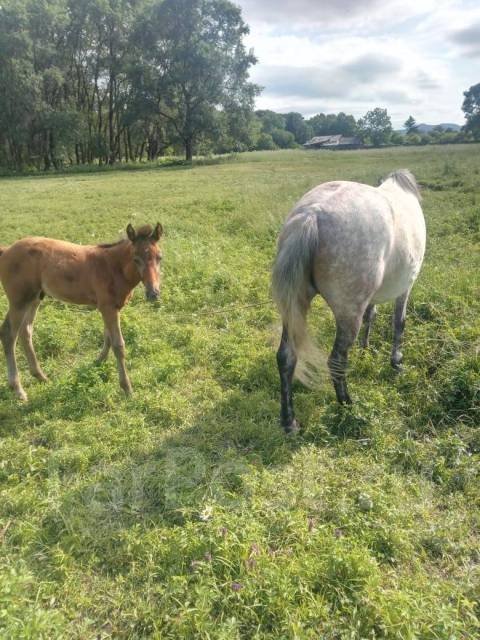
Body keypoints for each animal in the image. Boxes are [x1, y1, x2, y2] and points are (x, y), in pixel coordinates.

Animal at [0, 224, 163, 400]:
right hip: (19, 300)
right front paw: (127, 388)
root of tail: (6, 250)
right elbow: (118, 345)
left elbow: (107, 337)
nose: (153, 293)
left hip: (35, 298)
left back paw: (41, 376)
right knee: (9, 334)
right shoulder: (108, 308)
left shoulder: (110, 308)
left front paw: (97, 363)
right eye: (135, 259)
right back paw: (18, 389)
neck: (113, 267)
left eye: (159, 257)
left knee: (26, 331)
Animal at [272, 168, 426, 432]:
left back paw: (289, 422)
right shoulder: (405, 287)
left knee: (286, 356)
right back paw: (348, 405)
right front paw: (396, 362)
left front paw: (365, 348)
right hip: (348, 312)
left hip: (295, 308)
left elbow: (371, 315)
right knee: (336, 360)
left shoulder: (371, 297)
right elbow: (399, 324)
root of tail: (311, 214)